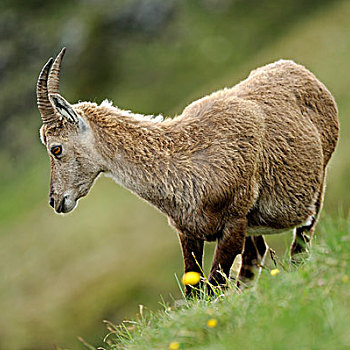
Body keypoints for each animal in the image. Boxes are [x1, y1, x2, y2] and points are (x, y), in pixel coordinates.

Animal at [37, 48, 338, 296]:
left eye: (55, 148)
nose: (55, 200)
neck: (183, 161)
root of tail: (300, 71)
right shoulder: (188, 232)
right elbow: (195, 290)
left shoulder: (234, 222)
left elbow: (214, 283)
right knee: (256, 256)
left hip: (316, 186)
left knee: (299, 244)